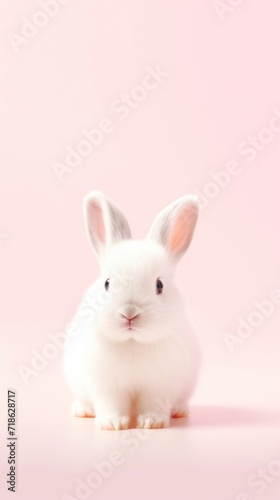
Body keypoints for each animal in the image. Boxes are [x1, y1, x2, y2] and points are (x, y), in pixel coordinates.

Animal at [63, 191, 201, 430]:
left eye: (159, 285)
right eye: (107, 283)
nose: (129, 314)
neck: (132, 343)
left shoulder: (159, 386)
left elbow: (153, 405)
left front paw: (152, 423)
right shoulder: (106, 387)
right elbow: (111, 404)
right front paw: (113, 424)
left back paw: (179, 411)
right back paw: (83, 410)